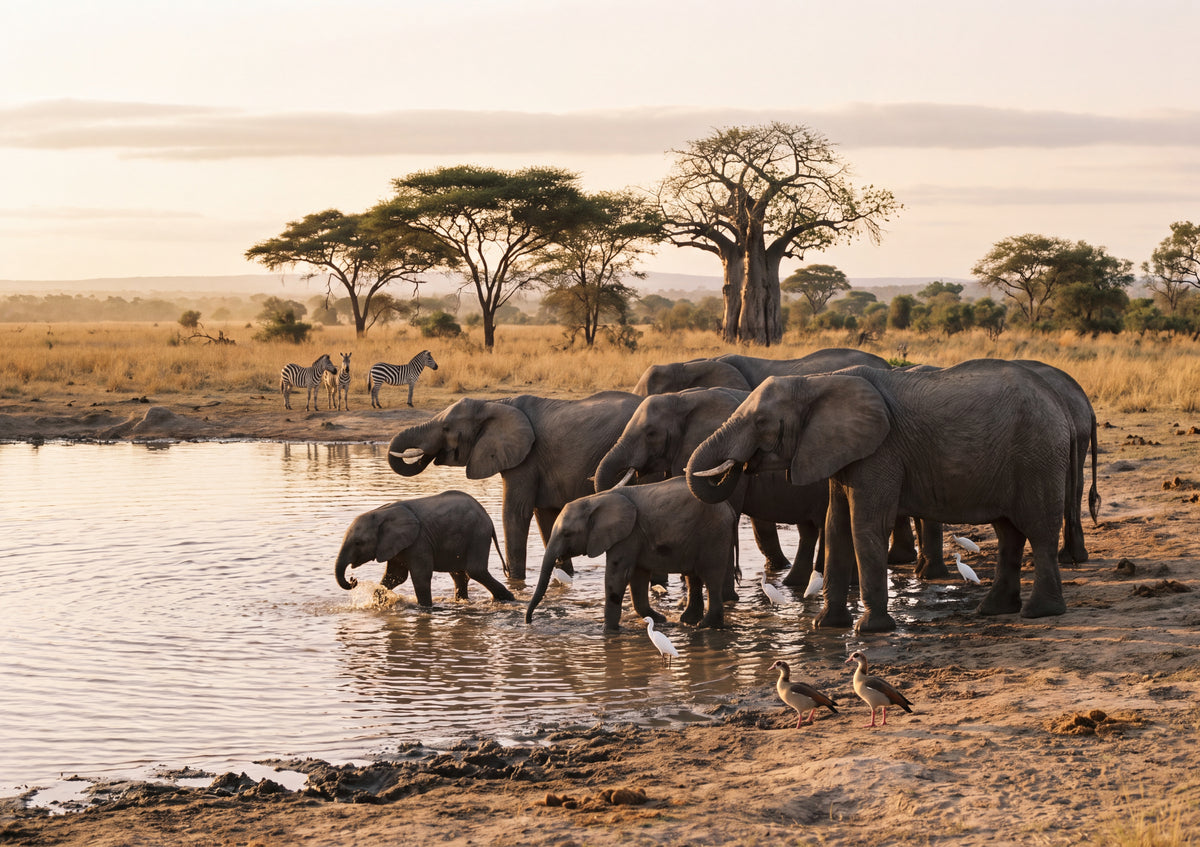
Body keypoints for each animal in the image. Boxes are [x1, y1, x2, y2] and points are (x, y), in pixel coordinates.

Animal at [335, 490, 514, 607]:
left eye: (358, 543)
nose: (353, 579)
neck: (381, 512)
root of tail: (488, 518)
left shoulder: (419, 541)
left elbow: (420, 576)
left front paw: (425, 609)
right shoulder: (395, 546)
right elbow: (395, 576)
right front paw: (379, 603)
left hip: (478, 536)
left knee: (476, 571)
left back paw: (508, 599)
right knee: (459, 576)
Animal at [387, 391, 643, 581]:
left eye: (446, 428)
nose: (428, 454)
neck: (493, 404)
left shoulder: (526, 457)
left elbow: (515, 513)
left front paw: (515, 581)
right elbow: (545, 517)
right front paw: (563, 576)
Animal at [525, 477, 739, 630]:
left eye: (567, 534)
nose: (529, 622)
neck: (595, 499)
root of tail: (729, 507)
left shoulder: (628, 535)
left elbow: (618, 575)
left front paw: (608, 630)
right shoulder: (634, 537)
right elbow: (637, 576)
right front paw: (657, 619)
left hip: (714, 536)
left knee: (711, 577)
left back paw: (706, 625)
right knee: (693, 577)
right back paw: (688, 621)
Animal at [686, 358, 1076, 633]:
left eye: (761, 422)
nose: (739, 465)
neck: (818, 381)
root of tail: (1062, 404)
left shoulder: (880, 451)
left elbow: (865, 525)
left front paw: (868, 630)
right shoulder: (840, 451)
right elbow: (837, 525)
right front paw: (825, 625)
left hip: (1037, 454)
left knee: (1038, 529)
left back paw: (1039, 612)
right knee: (1008, 531)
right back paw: (993, 609)